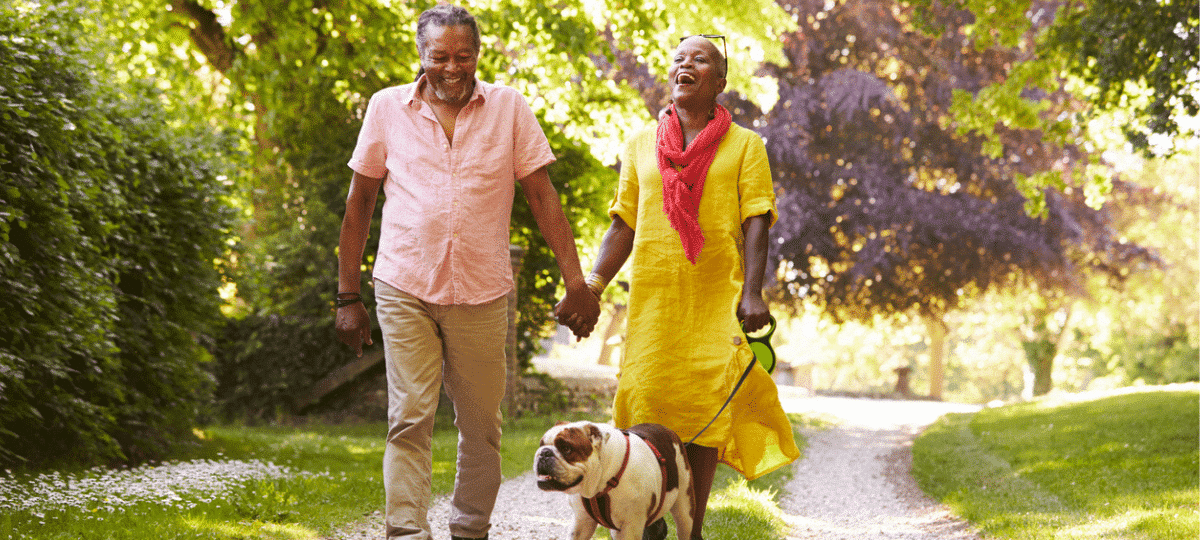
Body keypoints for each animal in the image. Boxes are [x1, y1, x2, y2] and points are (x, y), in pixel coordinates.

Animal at [537, 422, 696, 540]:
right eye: (541, 444)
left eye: (566, 448)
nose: (544, 453)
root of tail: (667, 430)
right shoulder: (581, 522)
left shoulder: (630, 527)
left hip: (685, 511)